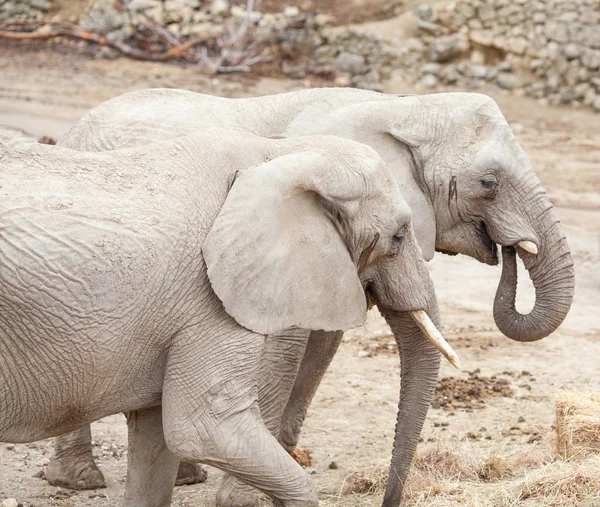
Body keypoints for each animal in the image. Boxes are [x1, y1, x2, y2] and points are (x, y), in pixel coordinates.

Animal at [0, 131, 450, 507]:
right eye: (397, 237)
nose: (388, 499)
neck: (277, 152)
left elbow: (156, 438)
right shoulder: (208, 298)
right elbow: (201, 430)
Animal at [49, 87, 576, 507]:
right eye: (489, 183)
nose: (509, 249)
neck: (405, 106)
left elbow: (322, 344)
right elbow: (285, 348)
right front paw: (245, 500)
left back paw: (181, 477)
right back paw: (80, 481)